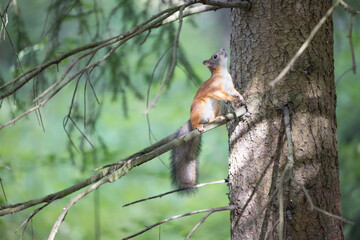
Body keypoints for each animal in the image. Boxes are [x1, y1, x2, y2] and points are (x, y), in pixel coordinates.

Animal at [171, 48, 245, 191]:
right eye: (215, 56)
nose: (223, 49)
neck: (223, 73)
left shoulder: (230, 87)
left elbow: (234, 92)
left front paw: (240, 97)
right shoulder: (215, 89)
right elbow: (223, 94)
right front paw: (233, 100)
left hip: (216, 106)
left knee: (210, 119)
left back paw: (216, 118)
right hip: (199, 106)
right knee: (195, 122)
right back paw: (197, 125)